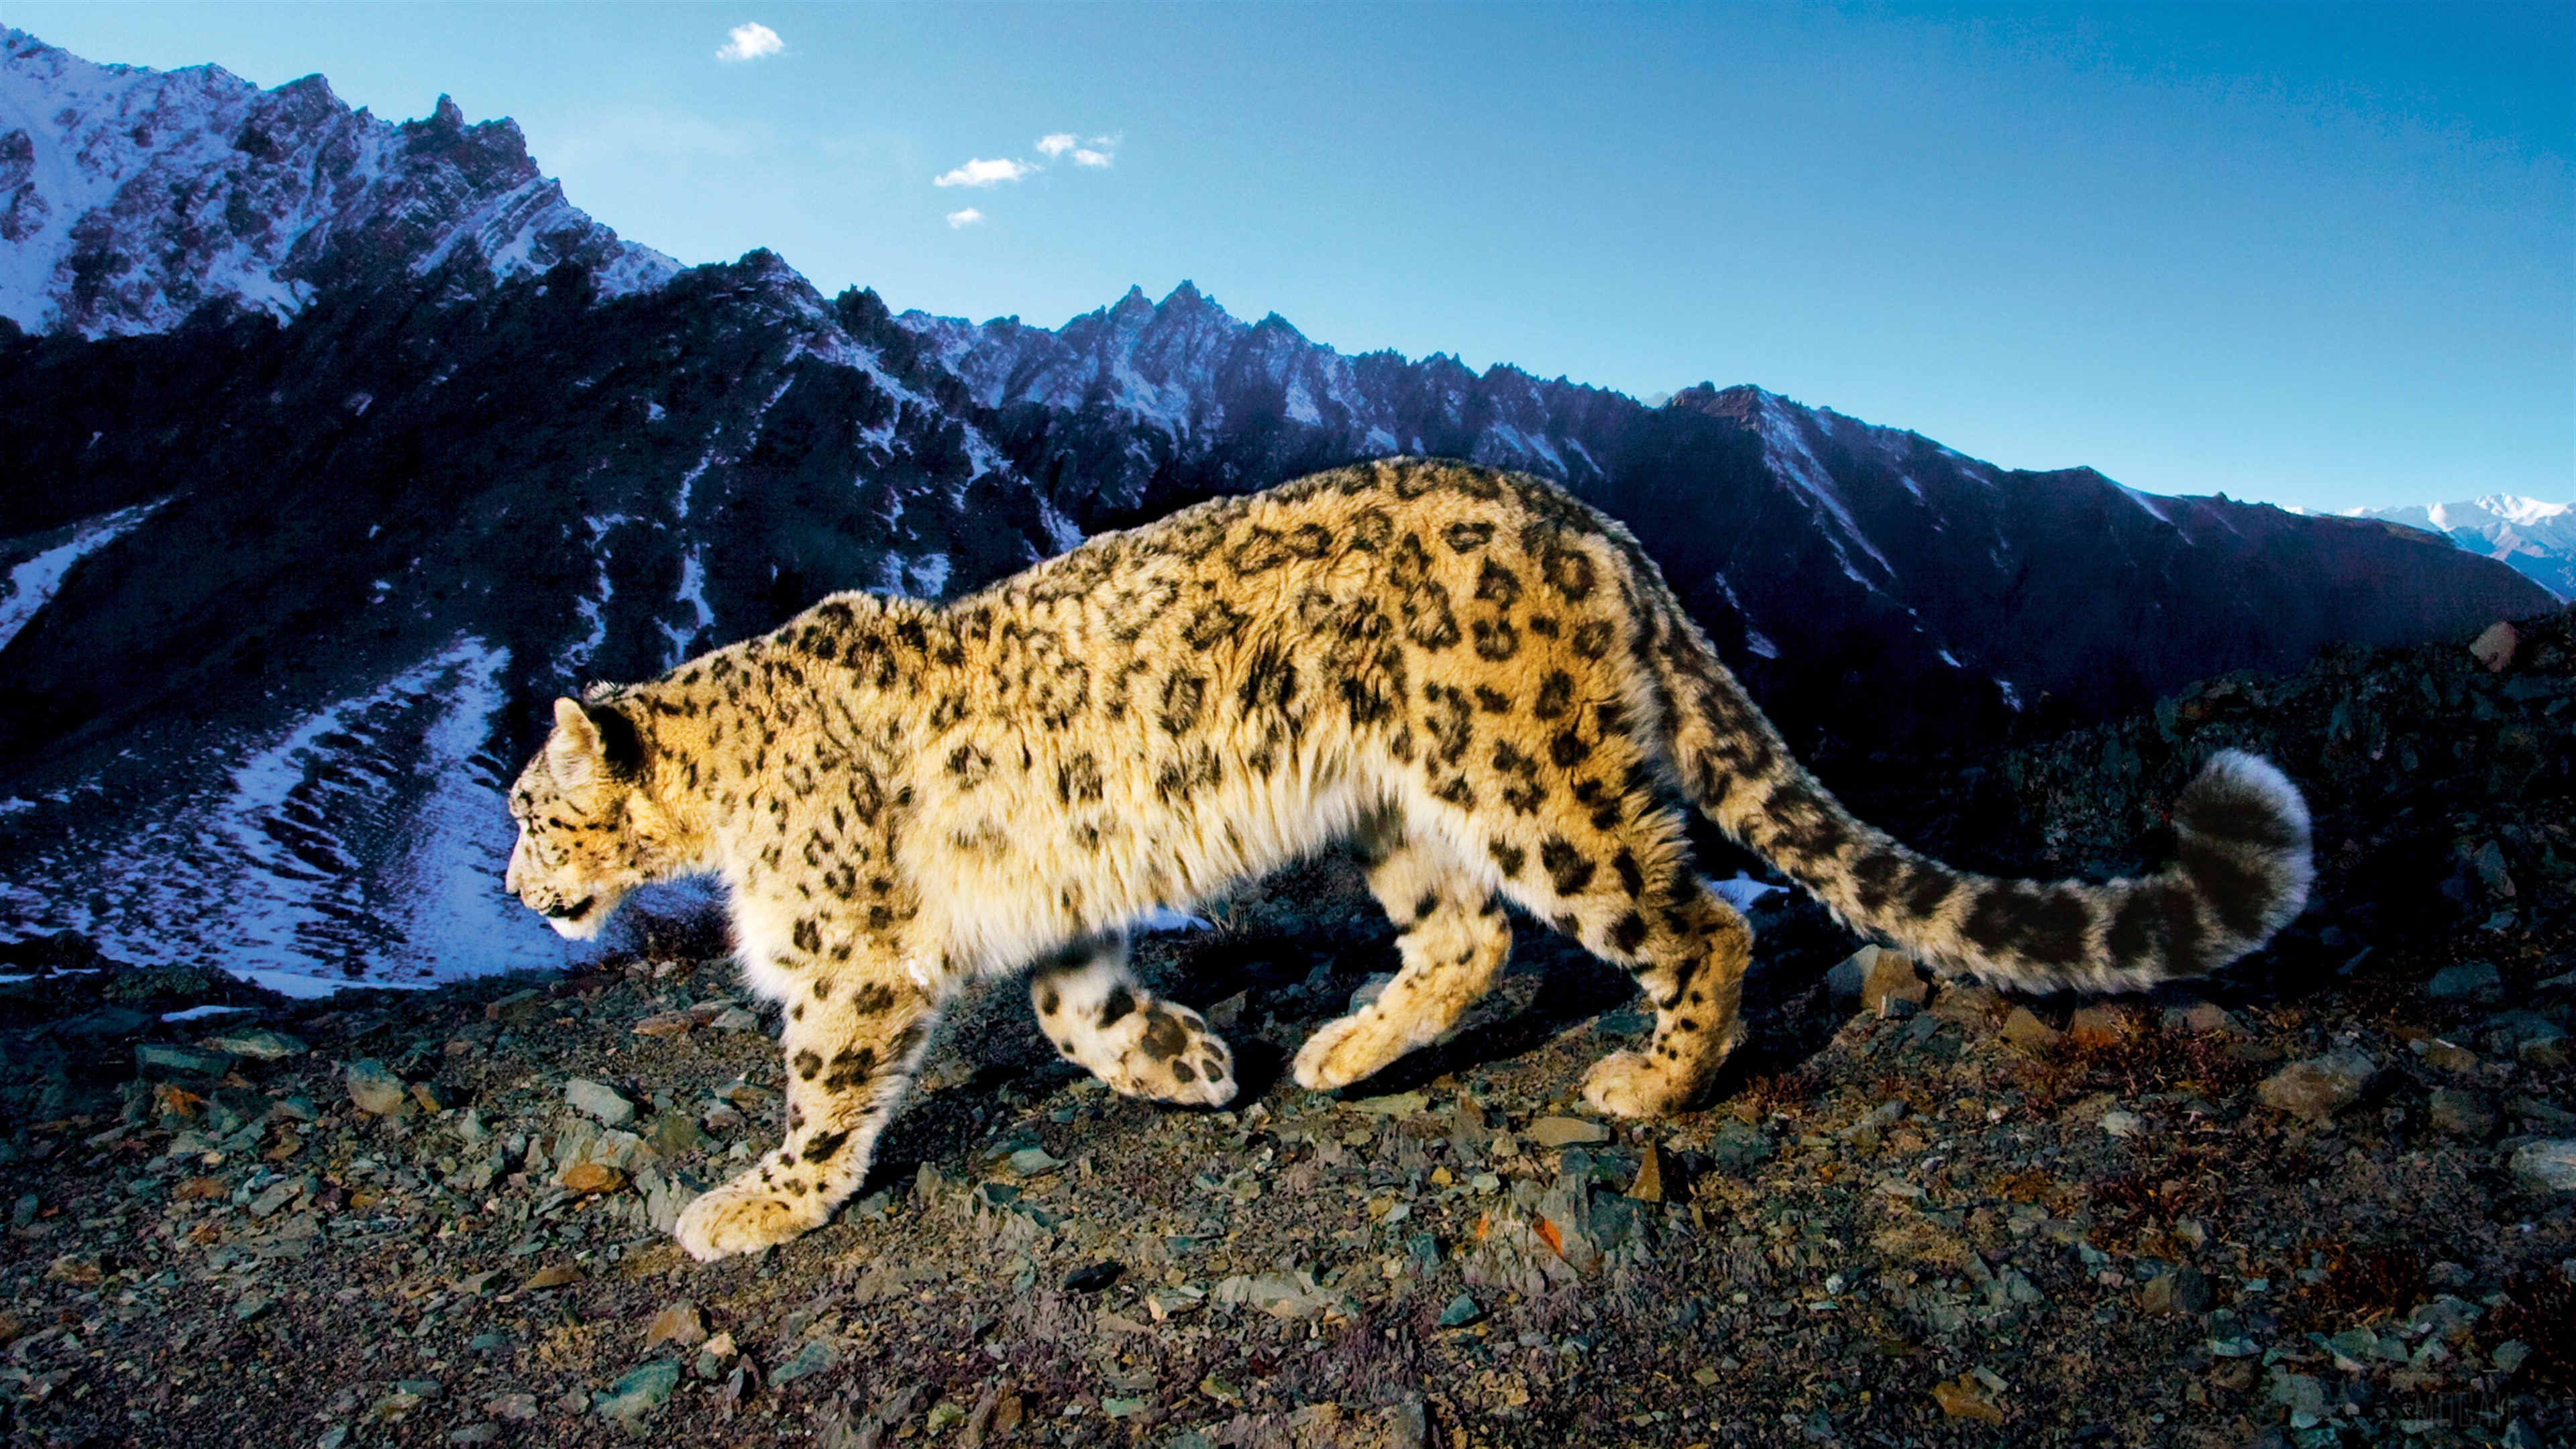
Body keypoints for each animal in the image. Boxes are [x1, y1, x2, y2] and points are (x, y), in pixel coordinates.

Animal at [502, 457, 2313, 1261]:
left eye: (526, 807)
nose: (517, 888)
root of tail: (1594, 523)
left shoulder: (846, 954)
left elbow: (826, 1086)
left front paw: (750, 1203)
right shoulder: (1055, 913)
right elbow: (1079, 1010)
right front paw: (1188, 1063)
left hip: (1531, 777)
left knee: (1689, 921)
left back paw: (1644, 1083)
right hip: (1399, 810)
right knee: (1469, 940)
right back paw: (1336, 1050)